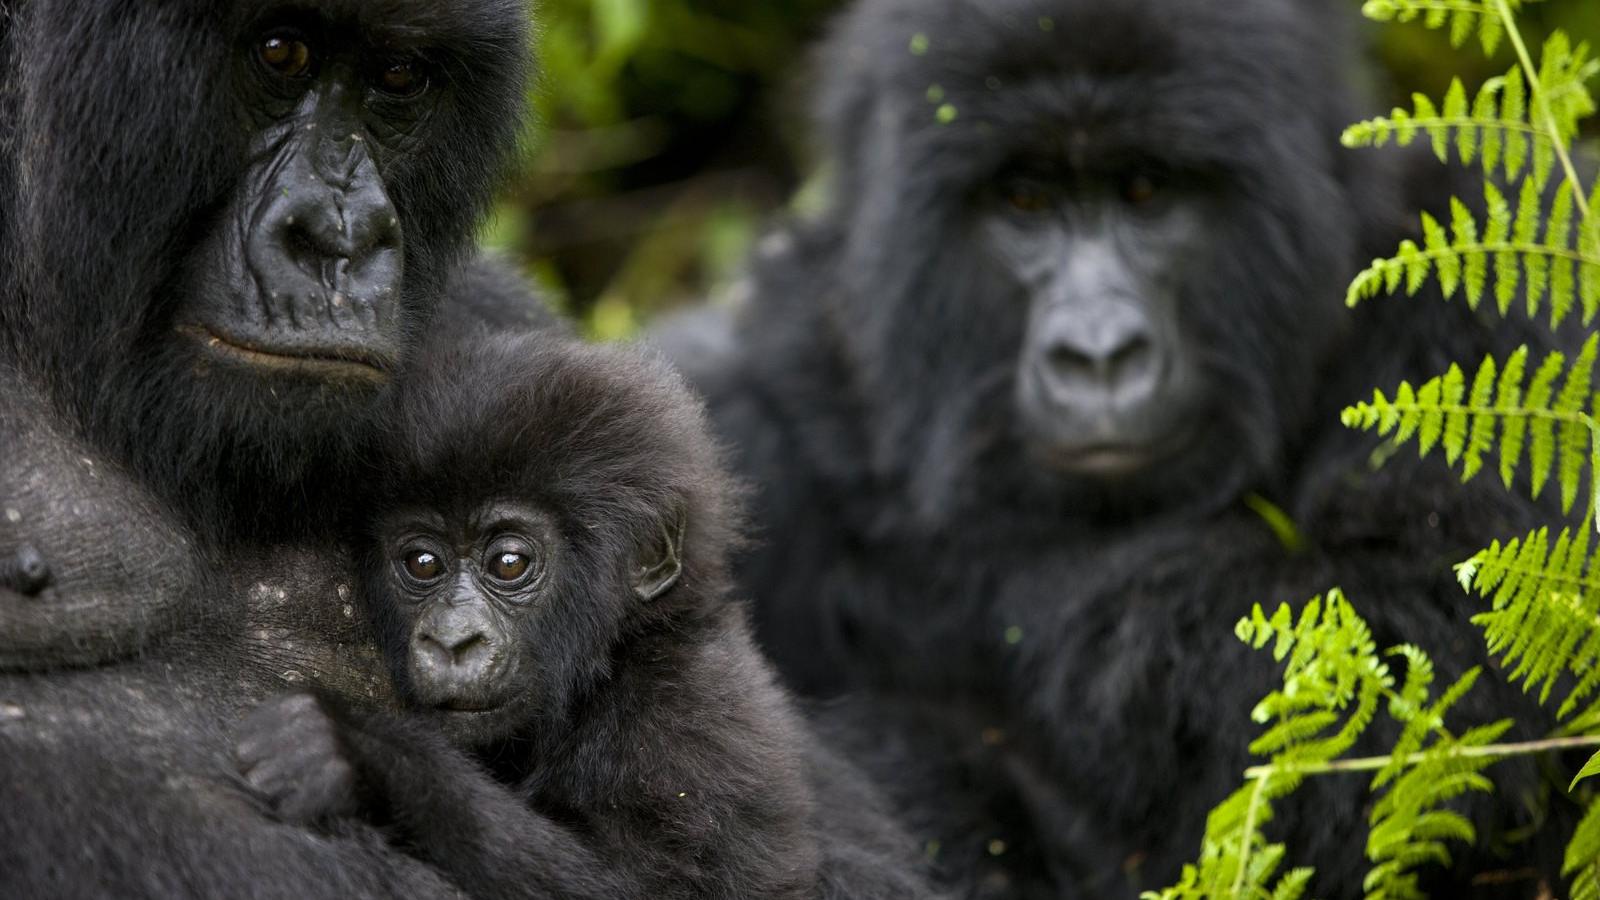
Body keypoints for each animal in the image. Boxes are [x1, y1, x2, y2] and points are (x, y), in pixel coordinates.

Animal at [232, 331, 934, 896]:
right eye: (423, 563)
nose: (452, 641)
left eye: (509, 562)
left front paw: (364, 754)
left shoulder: (677, 719)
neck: (617, 656)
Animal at [662, 0, 1574, 890]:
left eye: (1145, 191)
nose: (1097, 354)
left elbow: (1426, 632)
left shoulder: (1497, 279)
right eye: (1024, 201)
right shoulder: (741, 406)